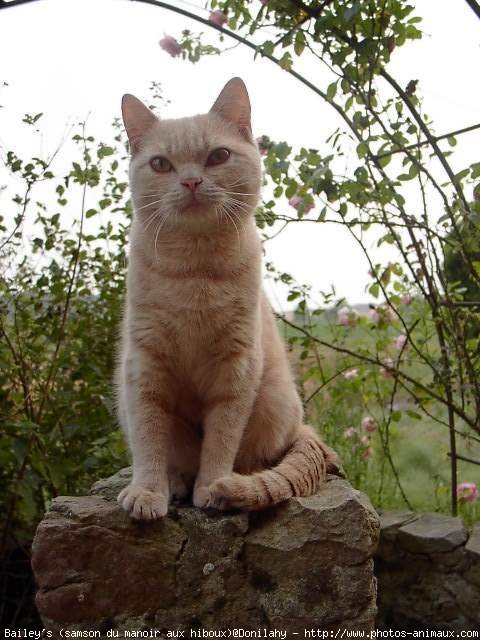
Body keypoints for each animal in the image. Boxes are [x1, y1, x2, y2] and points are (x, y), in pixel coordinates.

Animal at [115, 77, 338, 524]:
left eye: (218, 156)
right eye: (161, 164)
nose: (191, 182)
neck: (195, 272)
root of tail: (303, 427)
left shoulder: (236, 368)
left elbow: (221, 439)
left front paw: (213, 487)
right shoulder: (143, 367)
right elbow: (149, 439)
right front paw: (148, 491)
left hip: (274, 402)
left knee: (255, 458)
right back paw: (174, 483)